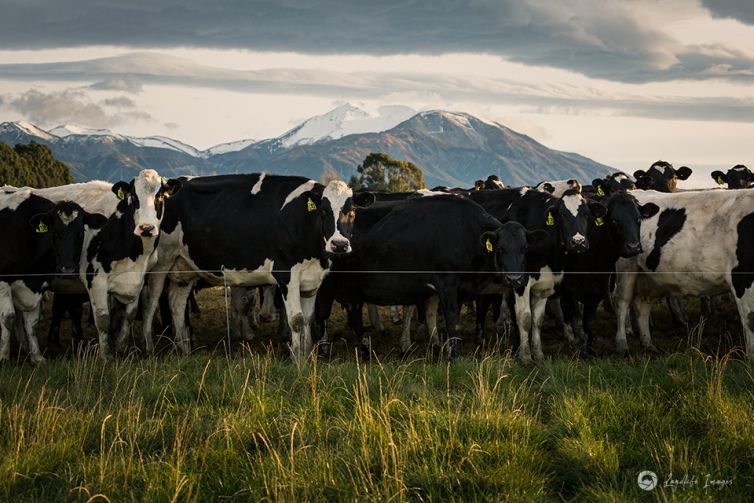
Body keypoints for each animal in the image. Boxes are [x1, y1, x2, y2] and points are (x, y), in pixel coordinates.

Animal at [0, 191, 107, 364]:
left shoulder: (37, 283)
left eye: (80, 233)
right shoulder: (3, 280)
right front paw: (3, 357)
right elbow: (8, 318)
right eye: (55, 233)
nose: (67, 270)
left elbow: (32, 322)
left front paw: (37, 357)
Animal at [138, 174, 374, 362]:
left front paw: (307, 356)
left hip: (185, 266)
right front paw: (298, 362)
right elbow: (296, 320)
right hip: (161, 262)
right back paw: (148, 347)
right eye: (324, 211)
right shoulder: (286, 275)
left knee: (176, 303)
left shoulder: (312, 280)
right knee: (151, 301)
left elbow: (308, 320)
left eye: (352, 211)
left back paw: (184, 349)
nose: (339, 244)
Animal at [312, 195, 540, 360]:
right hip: (331, 283)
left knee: (354, 315)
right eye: (500, 249)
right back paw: (325, 350)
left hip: (353, 286)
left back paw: (367, 350)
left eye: (524, 249)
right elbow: (451, 320)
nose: (514, 279)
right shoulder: (447, 284)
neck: (465, 231)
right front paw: (451, 356)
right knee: (325, 313)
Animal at [612, 189, 754, 362]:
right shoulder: (742, 278)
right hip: (626, 268)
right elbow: (750, 320)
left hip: (648, 275)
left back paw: (648, 344)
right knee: (622, 302)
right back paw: (622, 344)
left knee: (643, 304)